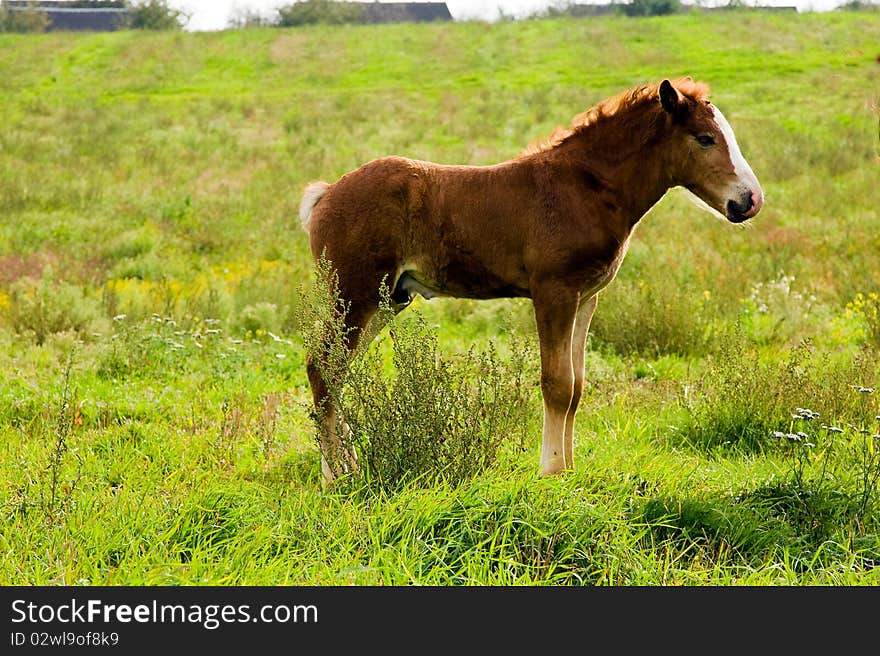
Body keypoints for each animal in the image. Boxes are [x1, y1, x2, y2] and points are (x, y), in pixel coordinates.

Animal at [300, 79, 764, 484]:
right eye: (705, 138)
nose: (750, 201)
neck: (584, 188)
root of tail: (326, 194)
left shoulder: (585, 298)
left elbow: (576, 387)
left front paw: (571, 469)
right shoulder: (553, 292)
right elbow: (556, 384)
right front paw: (552, 471)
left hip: (388, 299)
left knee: (336, 371)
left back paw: (349, 467)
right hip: (354, 293)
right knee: (321, 368)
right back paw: (334, 476)